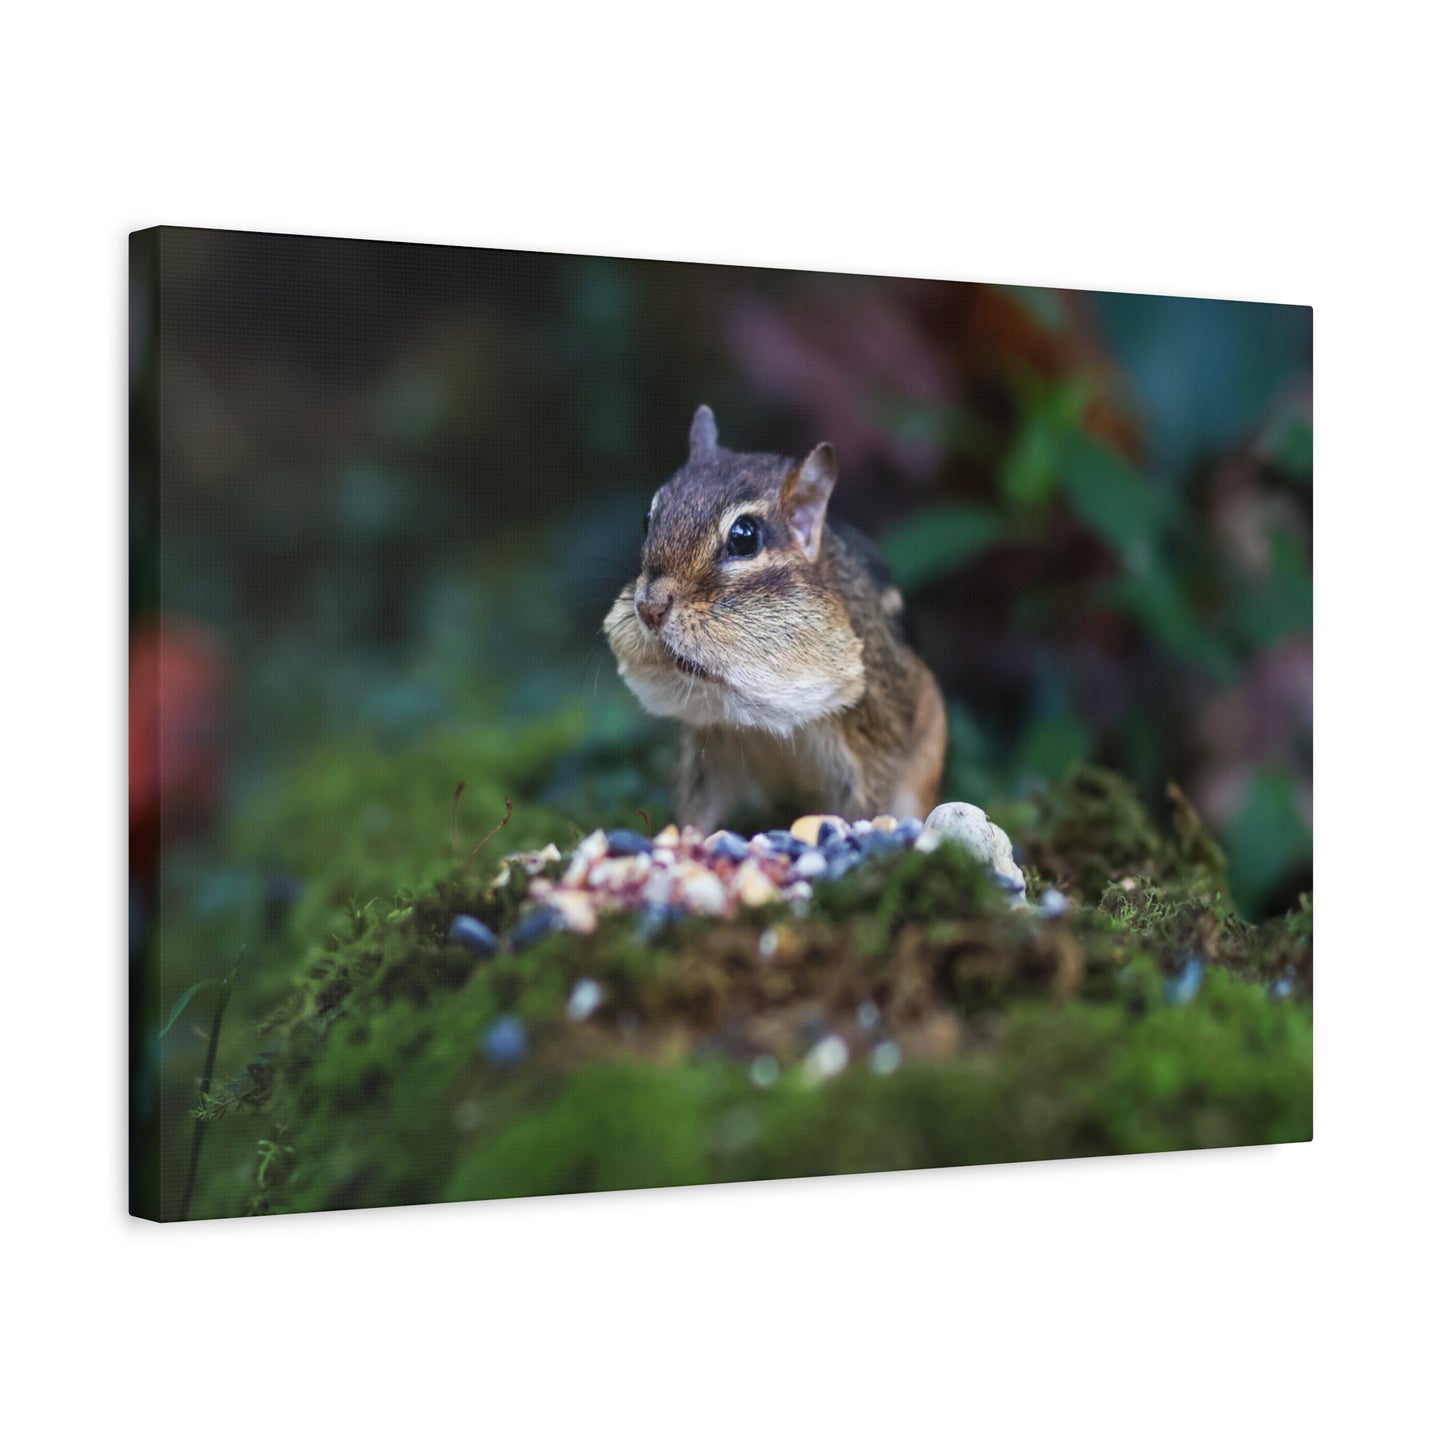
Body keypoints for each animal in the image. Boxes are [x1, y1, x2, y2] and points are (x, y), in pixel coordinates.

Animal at [604, 405, 947, 835]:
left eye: (744, 537)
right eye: (647, 518)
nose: (649, 608)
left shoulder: (873, 739)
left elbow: (868, 802)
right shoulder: (705, 747)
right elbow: (695, 807)